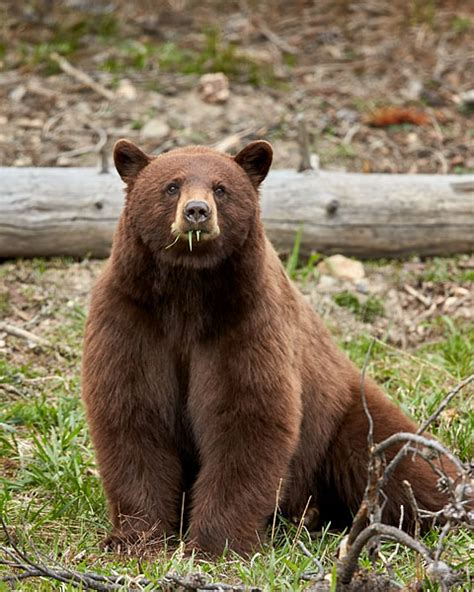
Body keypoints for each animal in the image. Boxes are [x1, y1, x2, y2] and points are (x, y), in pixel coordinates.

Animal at [83, 139, 462, 556]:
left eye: (221, 188)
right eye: (171, 185)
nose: (197, 212)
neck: (187, 294)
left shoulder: (248, 319)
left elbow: (248, 416)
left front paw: (217, 543)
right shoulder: (132, 318)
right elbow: (133, 414)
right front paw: (136, 537)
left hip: (347, 416)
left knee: (406, 463)